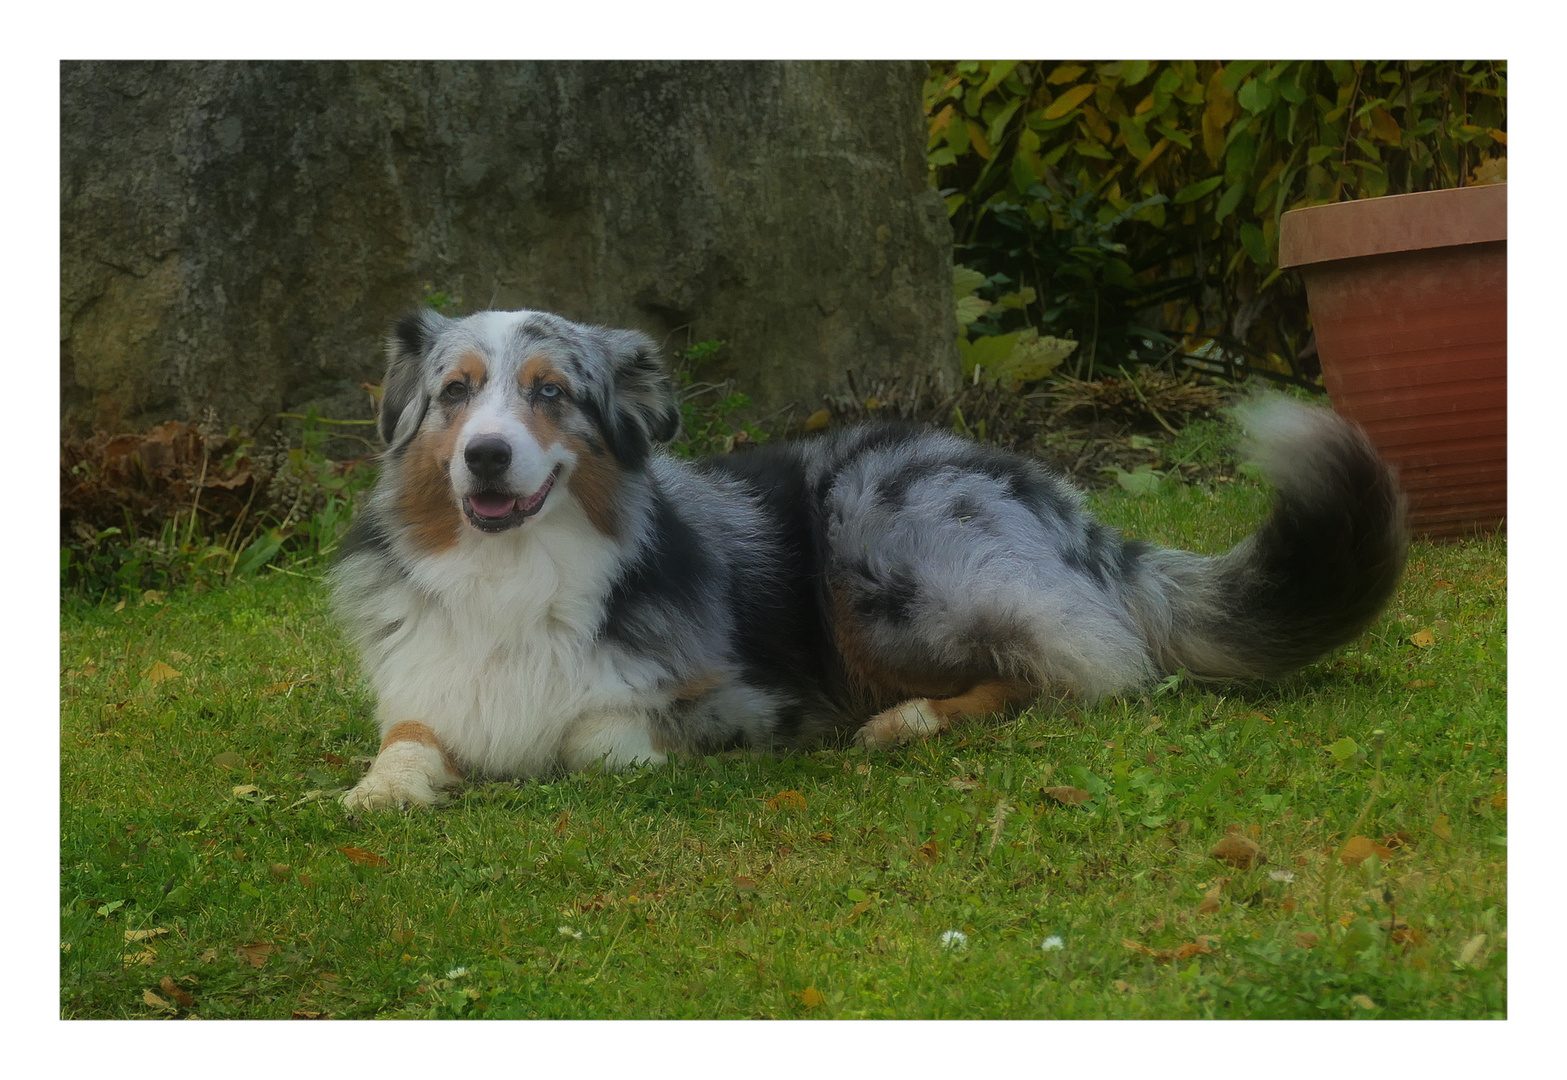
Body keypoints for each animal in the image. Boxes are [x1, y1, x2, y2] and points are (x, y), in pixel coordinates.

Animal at [333, 307, 1410, 802]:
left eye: (550, 392)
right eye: (456, 392)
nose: (485, 456)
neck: (511, 576)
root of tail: (1063, 503)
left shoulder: (743, 704)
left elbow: (591, 739)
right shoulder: (429, 682)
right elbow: (407, 740)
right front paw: (376, 791)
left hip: (881, 546)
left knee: (1074, 668)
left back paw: (905, 721)